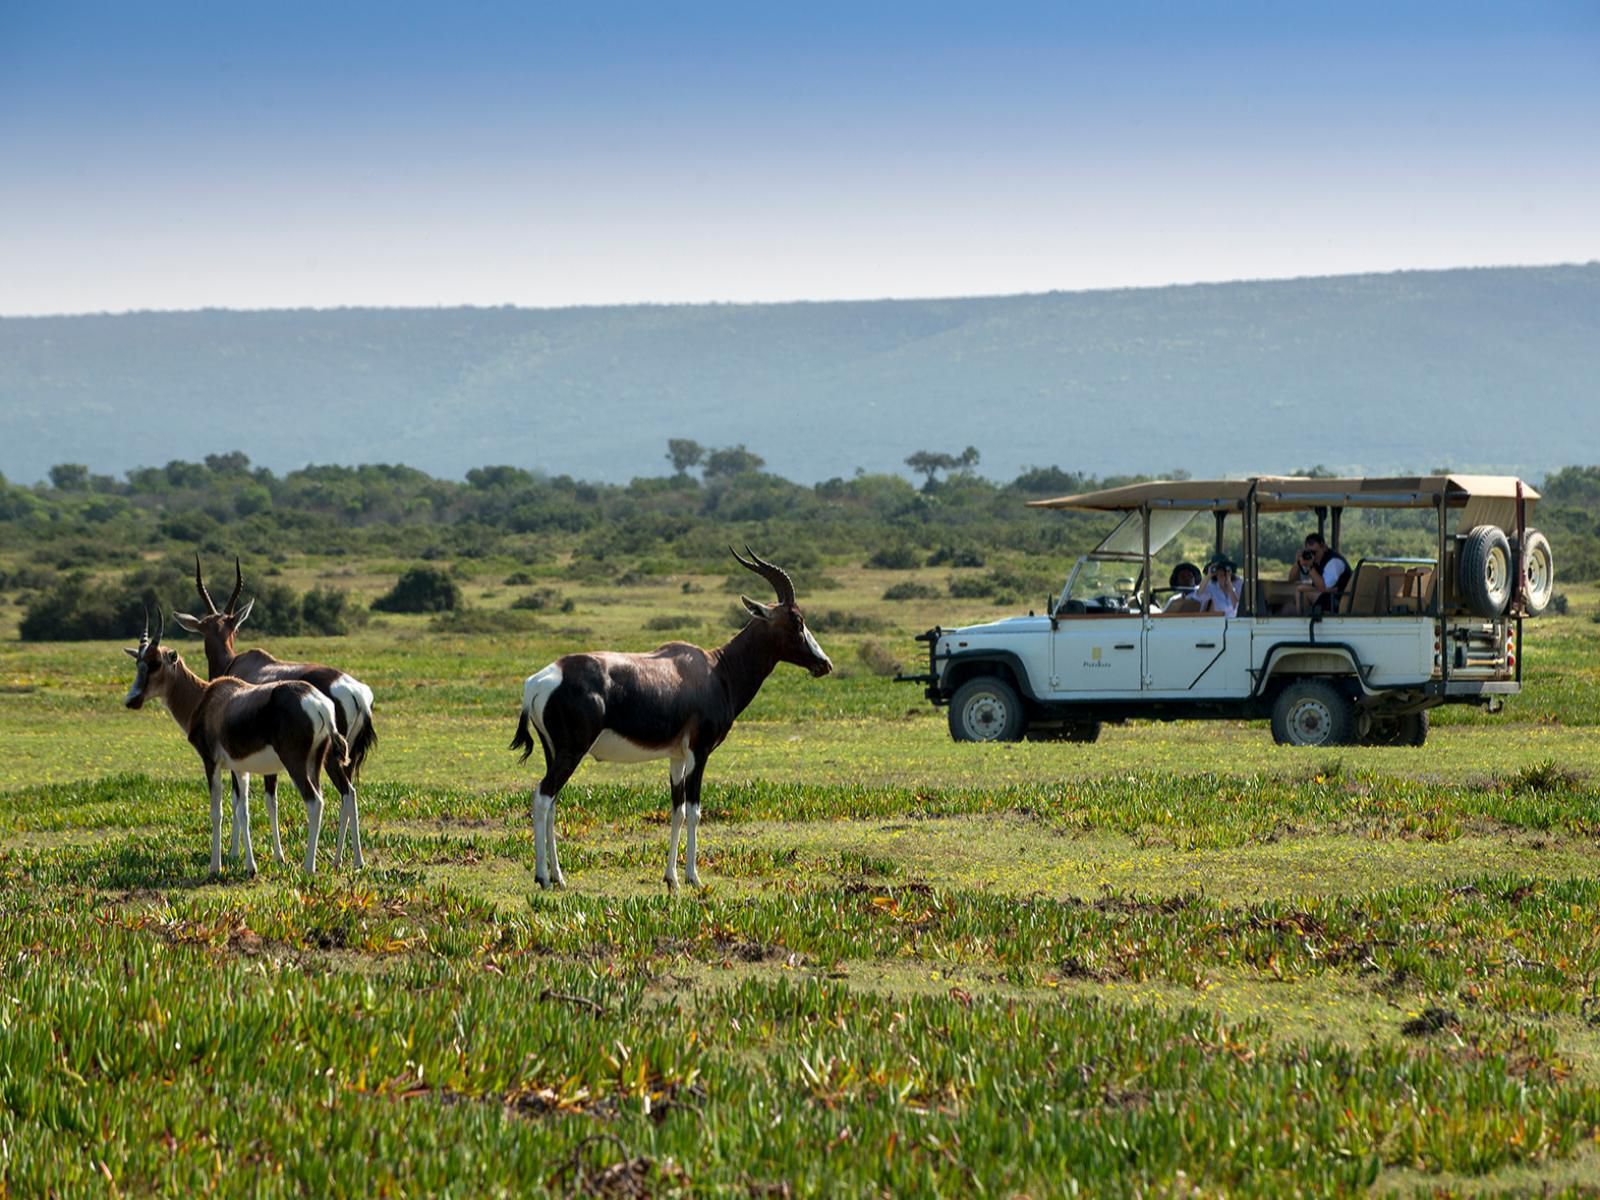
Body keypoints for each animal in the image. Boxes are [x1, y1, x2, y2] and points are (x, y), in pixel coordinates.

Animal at [122, 614, 350, 876]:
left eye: (156, 663)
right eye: (138, 662)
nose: (132, 700)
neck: (207, 699)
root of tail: (320, 703)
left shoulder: (211, 763)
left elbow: (217, 811)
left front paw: (215, 867)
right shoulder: (241, 768)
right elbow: (243, 811)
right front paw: (250, 866)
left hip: (295, 763)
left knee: (315, 802)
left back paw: (308, 867)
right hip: (315, 763)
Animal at [176, 560, 374, 870]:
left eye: (228, 628)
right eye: (212, 628)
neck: (237, 664)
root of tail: (356, 693)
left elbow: (241, 799)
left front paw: (237, 854)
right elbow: (268, 798)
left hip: (326, 757)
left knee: (341, 793)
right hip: (345, 756)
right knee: (350, 793)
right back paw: (348, 859)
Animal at [512, 550, 838, 889]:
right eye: (797, 620)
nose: (824, 663)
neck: (715, 669)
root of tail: (537, 682)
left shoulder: (677, 756)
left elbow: (677, 810)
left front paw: (672, 879)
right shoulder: (699, 750)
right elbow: (694, 811)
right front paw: (694, 877)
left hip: (554, 752)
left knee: (551, 802)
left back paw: (559, 877)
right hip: (571, 752)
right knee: (542, 796)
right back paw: (543, 877)